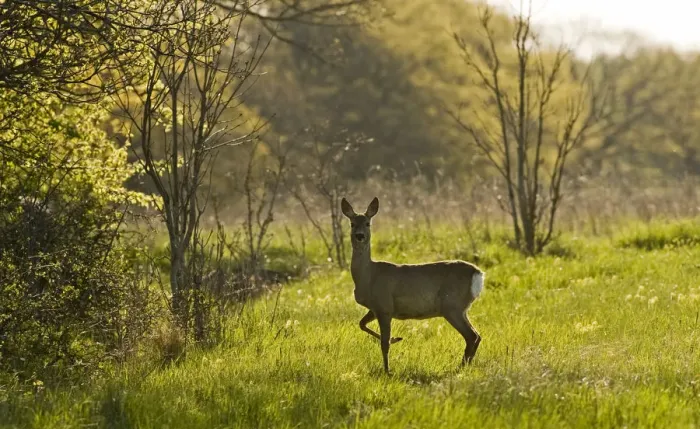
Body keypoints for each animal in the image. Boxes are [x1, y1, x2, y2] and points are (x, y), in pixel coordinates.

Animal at [341, 196, 485, 374]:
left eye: (368, 223)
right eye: (352, 223)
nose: (359, 236)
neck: (368, 276)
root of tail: (478, 274)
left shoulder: (385, 306)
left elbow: (384, 343)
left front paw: (388, 371)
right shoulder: (375, 308)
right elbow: (362, 324)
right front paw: (396, 339)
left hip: (452, 306)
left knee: (471, 336)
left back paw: (459, 368)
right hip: (461, 309)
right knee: (476, 335)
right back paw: (463, 367)